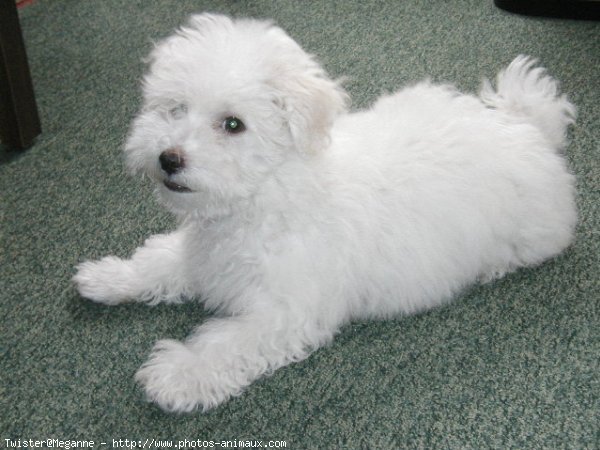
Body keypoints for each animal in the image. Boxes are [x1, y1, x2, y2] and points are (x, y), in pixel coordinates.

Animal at [72, 14, 580, 414]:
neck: (268, 194)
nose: (168, 158)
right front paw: (107, 277)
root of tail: (525, 124)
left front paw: (177, 374)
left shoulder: (285, 310)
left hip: (532, 231)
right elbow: (158, 259)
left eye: (233, 124)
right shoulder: (204, 257)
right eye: (175, 108)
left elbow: (226, 343)